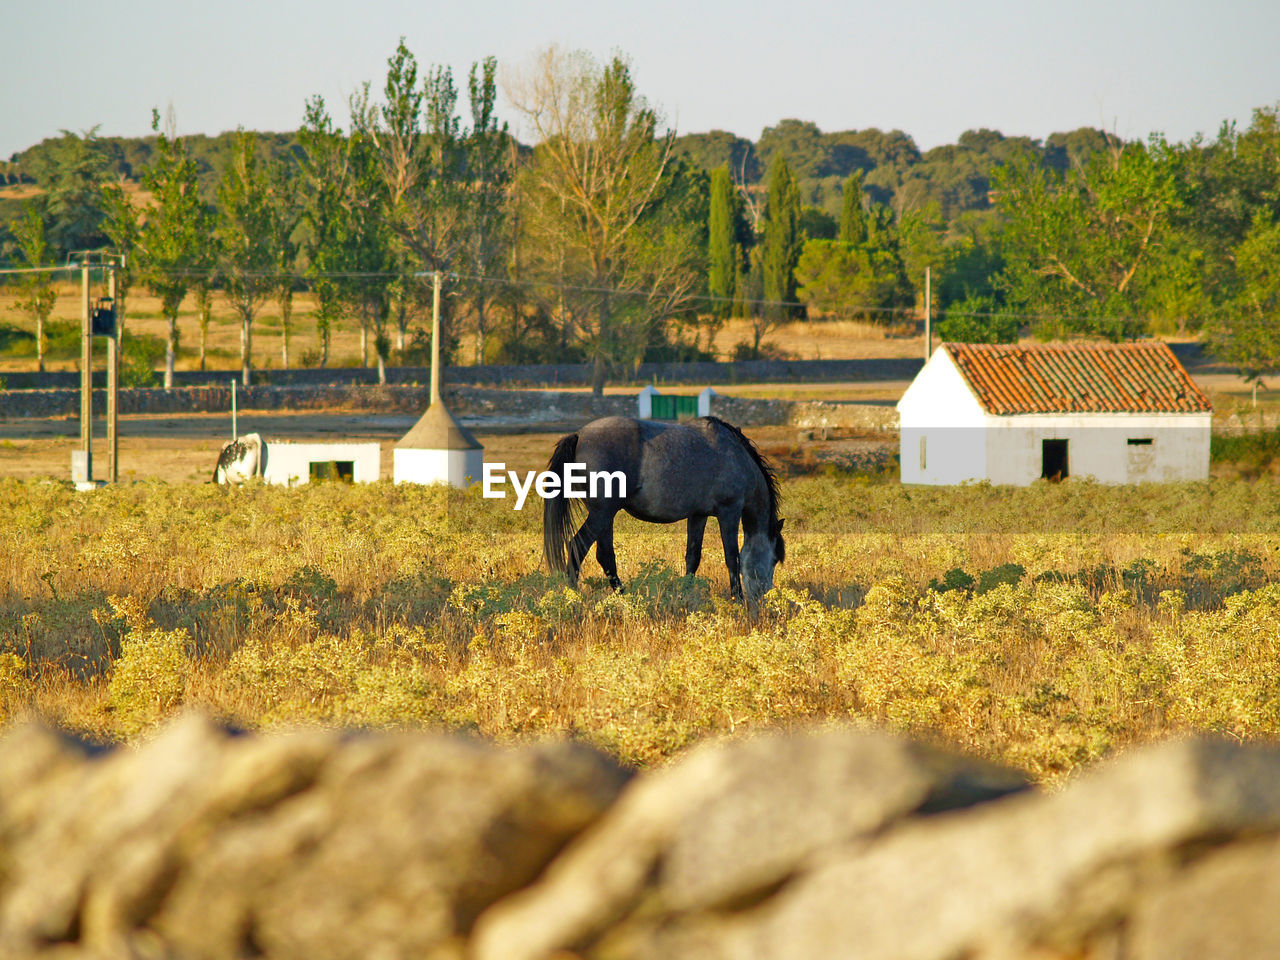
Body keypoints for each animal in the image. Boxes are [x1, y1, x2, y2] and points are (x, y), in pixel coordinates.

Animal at [537, 419, 778, 601]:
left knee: (605, 555)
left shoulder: (698, 515)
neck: (737, 457)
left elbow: (693, 556)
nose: (765, 596)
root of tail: (579, 435)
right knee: (577, 546)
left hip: (605, 516)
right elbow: (732, 557)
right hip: (601, 514)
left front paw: (686, 593)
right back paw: (574, 596)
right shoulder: (729, 512)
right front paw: (737, 598)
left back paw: (624, 597)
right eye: (775, 559)